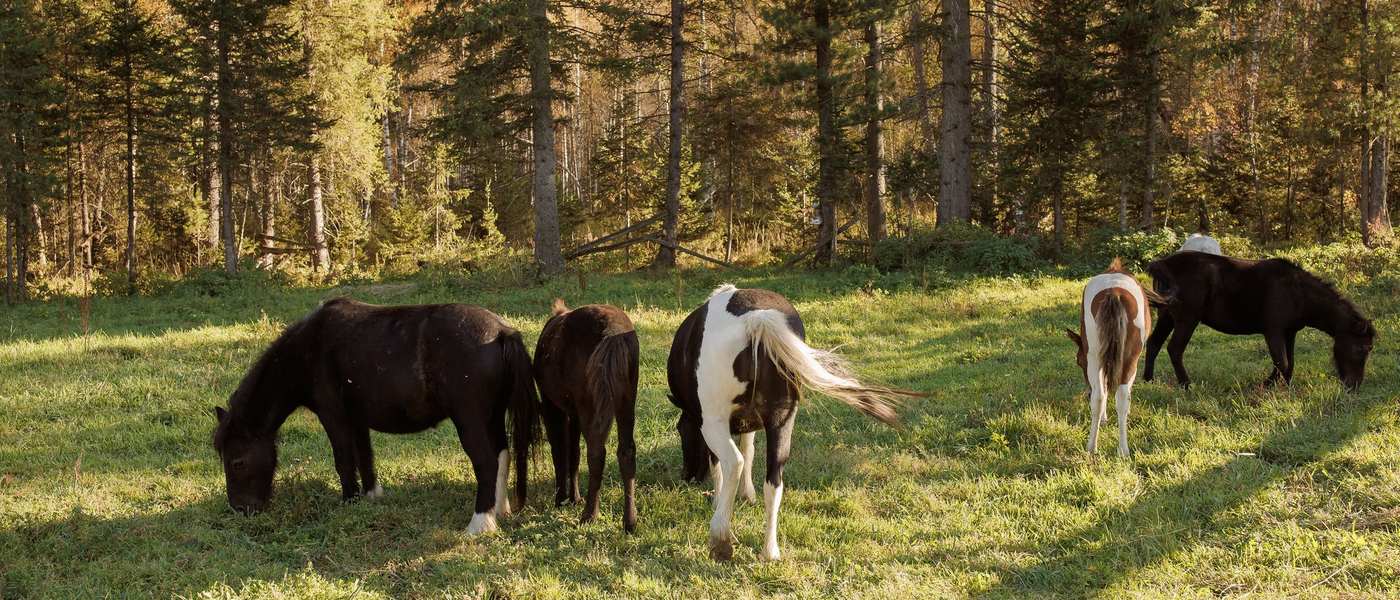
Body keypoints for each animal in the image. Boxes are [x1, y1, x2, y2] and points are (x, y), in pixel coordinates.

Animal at [211, 298, 537, 535]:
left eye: (237, 462)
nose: (240, 509)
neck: (309, 348)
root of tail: (501, 332)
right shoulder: (357, 418)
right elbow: (365, 456)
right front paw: (369, 496)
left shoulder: (334, 417)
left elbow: (344, 460)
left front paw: (348, 501)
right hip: (492, 417)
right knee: (502, 455)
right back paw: (498, 510)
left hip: (470, 420)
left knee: (486, 462)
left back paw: (480, 523)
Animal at [531, 299, 640, 532]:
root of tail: (612, 333)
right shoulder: (573, 413)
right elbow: (573, 453)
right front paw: (574, 497)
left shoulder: (553, 406)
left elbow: (560, 452)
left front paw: (562, 498)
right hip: (626, 400)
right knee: (626, 451)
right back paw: (630, 521)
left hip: (588, 404)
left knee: (596, 452)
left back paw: (589, 515)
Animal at [667, 284, 925, 561]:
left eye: (681, 432)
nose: (687, 477)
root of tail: (756, 319)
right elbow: (750, 450)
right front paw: (748, 495)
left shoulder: (708, 423)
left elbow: (722, 466)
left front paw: (720, 502)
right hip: (782, 421)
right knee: (774, 481)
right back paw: (770, 551)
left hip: (715, 423)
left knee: (734, 462)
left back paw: (721, 538)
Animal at [1065, 258, 1157, 457]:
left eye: (1078, 361)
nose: (1087, 392)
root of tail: (1114, 292)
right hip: (1128, 359)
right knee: (1120, 397)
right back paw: (1121, 449)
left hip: (1096, 357)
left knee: (1099, 396)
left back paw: (1095, 447)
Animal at [1143, 252, 1376, 390]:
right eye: (1360, 349)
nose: (1354, 386)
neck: (1298, 293)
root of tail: (1163, 264)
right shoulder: (1273, 331)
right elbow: (1282, 362)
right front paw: (1269, 385)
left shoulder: (1289, 332)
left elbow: (1288, 363)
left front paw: (1282, 385)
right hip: (1187, 319)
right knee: (1174, 349)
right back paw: (1185, 384)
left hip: (1167, 317)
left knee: (1153, 344)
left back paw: (1148, 380)